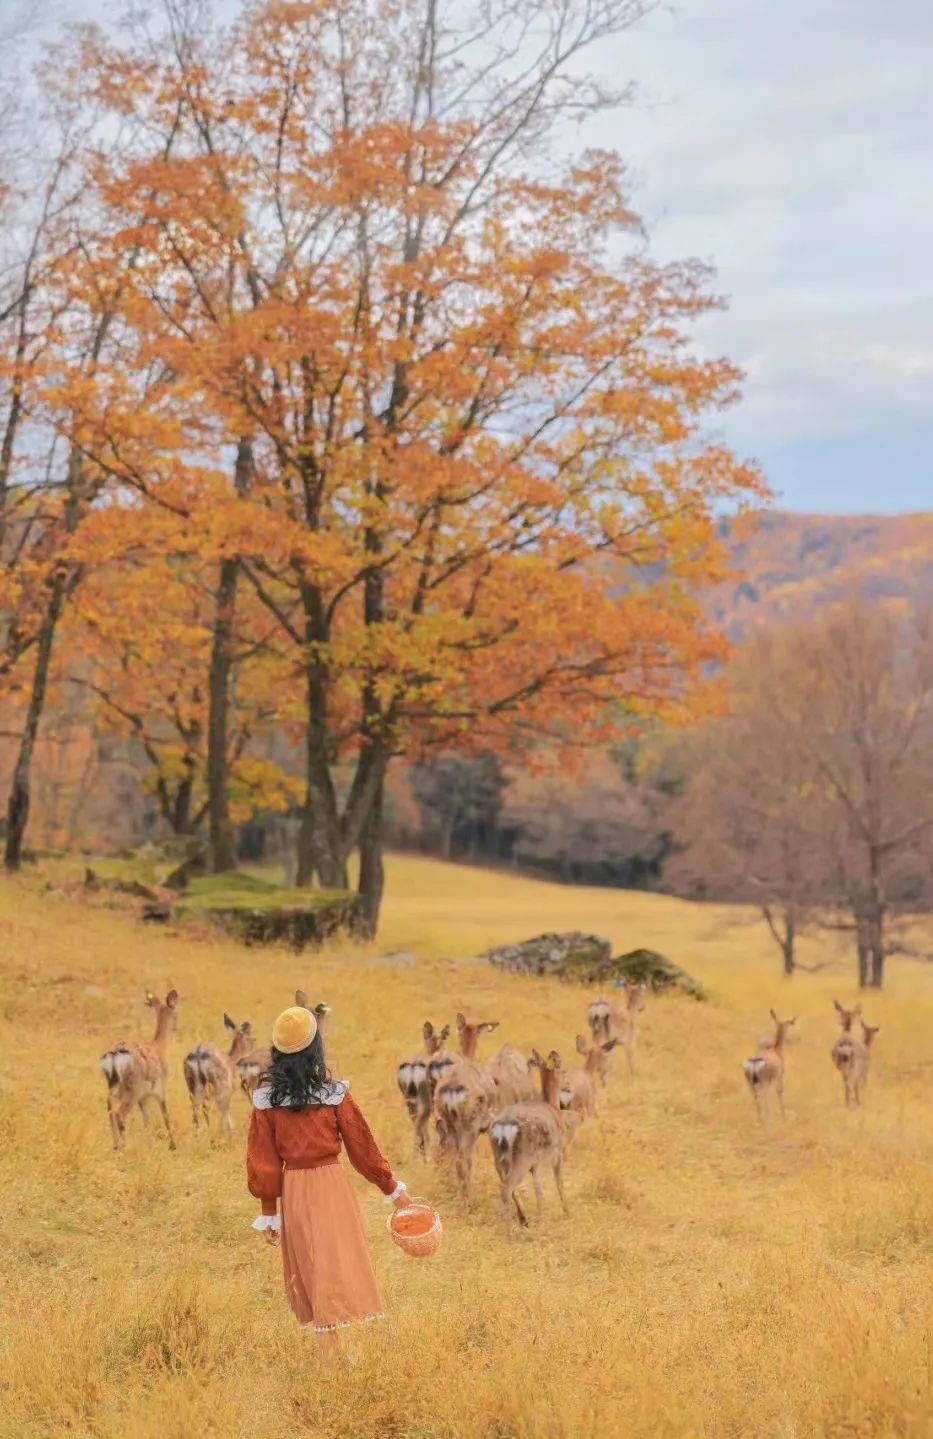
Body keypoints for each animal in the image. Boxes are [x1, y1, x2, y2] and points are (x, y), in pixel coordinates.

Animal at [99, 990, 179, 1145]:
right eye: (176, 1013)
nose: (177, 1027)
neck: (159, 1048)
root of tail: (113, 1057)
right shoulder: (160, 1089)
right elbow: (166, 1116)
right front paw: (173, 1145)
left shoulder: (144, 1097)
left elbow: (147, 1120)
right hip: (131, 1090)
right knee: (119, 1114)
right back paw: (123, 1146)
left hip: (114, 1089)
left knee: (110, 1112)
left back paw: (116, 1145)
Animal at [489, 1053, 567, 1243]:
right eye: (562, 1068)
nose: (567, 1085)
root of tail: (504, 1125)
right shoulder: (558, 1152)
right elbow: (558, 1182)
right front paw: (567, 1211)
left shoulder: (536, 1164)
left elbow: (538, 1188)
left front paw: (540, 1218)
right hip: (523, 1157)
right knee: (506, 1187)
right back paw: (510, 1235)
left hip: (498, 1157)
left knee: (507, 1185)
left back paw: (523, 1221)